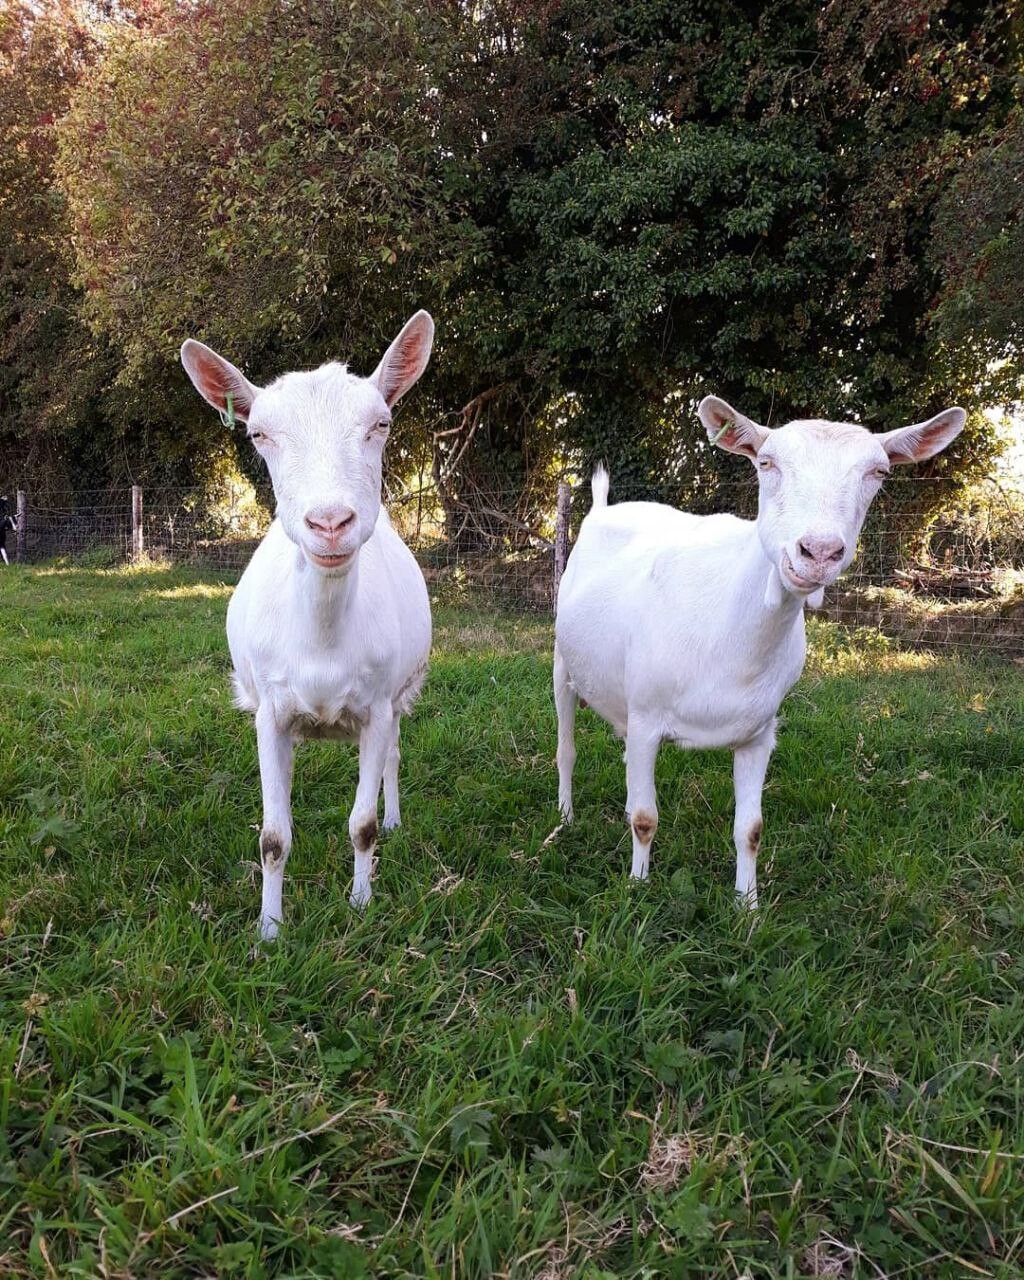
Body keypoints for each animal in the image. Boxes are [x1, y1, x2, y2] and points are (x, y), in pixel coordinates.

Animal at [181, 311, 435, 942]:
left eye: (381, 423)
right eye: (257, 435)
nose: (330, 522)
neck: (322, 640)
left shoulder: (375, 706)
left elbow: (362, 823)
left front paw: (361, 905)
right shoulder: (270, 713)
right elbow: (273, 836)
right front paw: (269, 929)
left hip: (400, 693)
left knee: (393, 756)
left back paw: (396, 819)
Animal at [552, 394, 962, 906]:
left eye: (879, 472)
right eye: (767, 463)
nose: (818, 551)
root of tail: (604, 507)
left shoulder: (760, 731)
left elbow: (750, 829)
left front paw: (747, 905)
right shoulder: (647, 715)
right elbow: (646, 819)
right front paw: (637, 886)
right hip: (563, 660)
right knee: (566, 747)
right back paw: (565, 818)